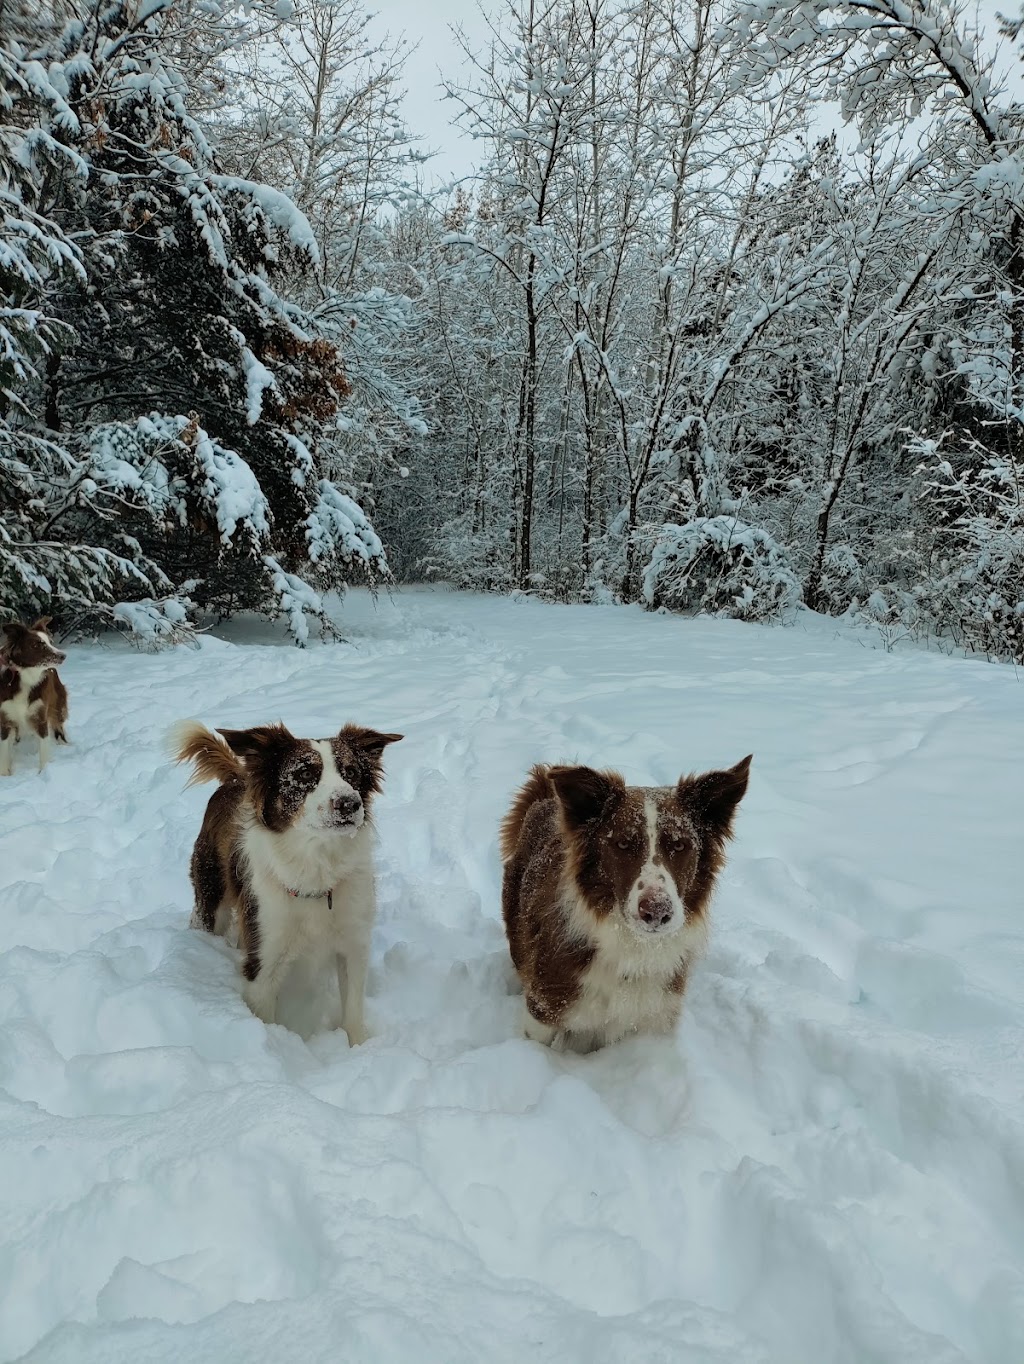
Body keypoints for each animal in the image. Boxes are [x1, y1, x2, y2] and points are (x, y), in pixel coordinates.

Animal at [1, 621, 69, 780]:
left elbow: (43, 751)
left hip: (58, 706)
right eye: (36, 645)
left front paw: (43, 773)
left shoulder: (40, 718)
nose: (63, 656)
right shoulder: (5, 719)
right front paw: (5, 775)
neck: (26, 676)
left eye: (50, 642)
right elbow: (4, 752)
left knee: (59, 729)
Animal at [174, 725, 403, 1031]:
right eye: (304, 774)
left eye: (352, 772)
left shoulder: (354, 944)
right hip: (211, 897)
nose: (349, 803)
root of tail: (236, 778)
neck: (316, 867)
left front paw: (357, 1041)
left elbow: (353, 1013)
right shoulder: (264, 960)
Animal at [504, 758, 752, 1053]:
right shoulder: (544, 1008)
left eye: (680, 845)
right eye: (623, 843)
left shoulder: (650, 1016)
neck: (633, 947)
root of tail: (546, 799)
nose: (656, 911)